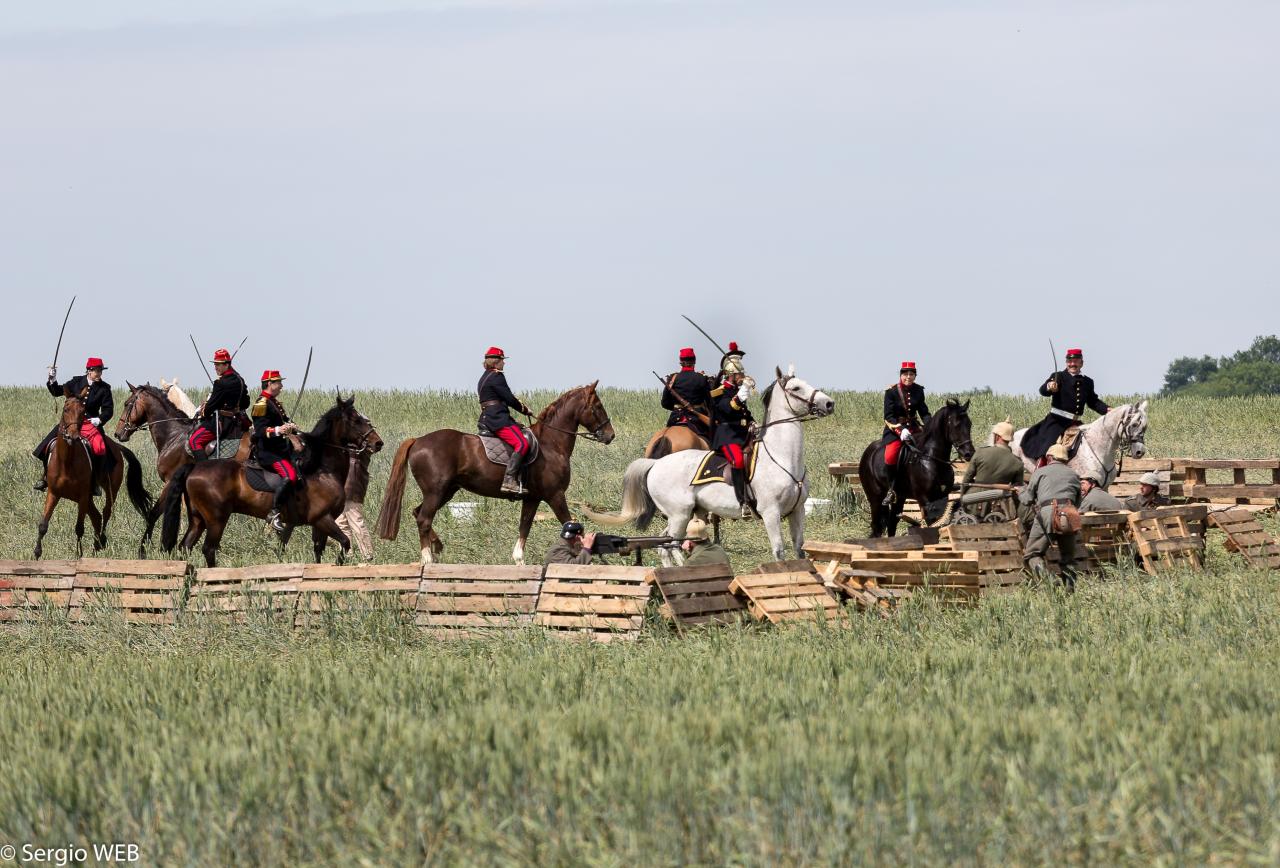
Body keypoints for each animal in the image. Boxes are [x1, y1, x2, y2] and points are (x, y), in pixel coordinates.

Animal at [35, 386, 153, 558]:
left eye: (82, 412)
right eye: (65, 409)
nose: (73, 436)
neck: (66, 461)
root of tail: (116, 446)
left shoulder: (83, 496)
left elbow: (79, 528)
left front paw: (79, 555)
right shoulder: (54, 493)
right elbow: (43, 524)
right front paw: (37, 553)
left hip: (109, 490)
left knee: (105, 512)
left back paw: (101, 541)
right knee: (97, 517)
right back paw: (97, 546)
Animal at [158, 396, 381, 570]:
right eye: (355, 420)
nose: (378, 443)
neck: (321, 468)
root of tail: (194, 467)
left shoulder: (318, 523)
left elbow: (318, 551)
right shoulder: (322, 519)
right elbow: (345, 542)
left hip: (198, 519)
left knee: (185, 546)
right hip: (216, 519)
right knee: (208, 549)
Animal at [373, 381, 614, 563]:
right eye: (598, 406)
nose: (611, 435)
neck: (551, 444)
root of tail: (418, 441)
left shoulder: (532, 498)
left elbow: (525, 527)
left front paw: (519, 562)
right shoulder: (555, 496)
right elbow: (571, 525)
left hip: (446, 491)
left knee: (418, 514)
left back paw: (437, 546)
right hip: (436, 491)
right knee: (423, 519)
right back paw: (427, 559)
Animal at [586, 363, 834, 560]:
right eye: (796, 388)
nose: (829, 403)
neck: (782, 458)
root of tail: (656, 464)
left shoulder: (797, 511)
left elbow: (799, 549)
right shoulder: (770, 513)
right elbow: (779, 551)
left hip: (683, 514)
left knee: (664, 545)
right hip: (679, 514)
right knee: (671, 545)